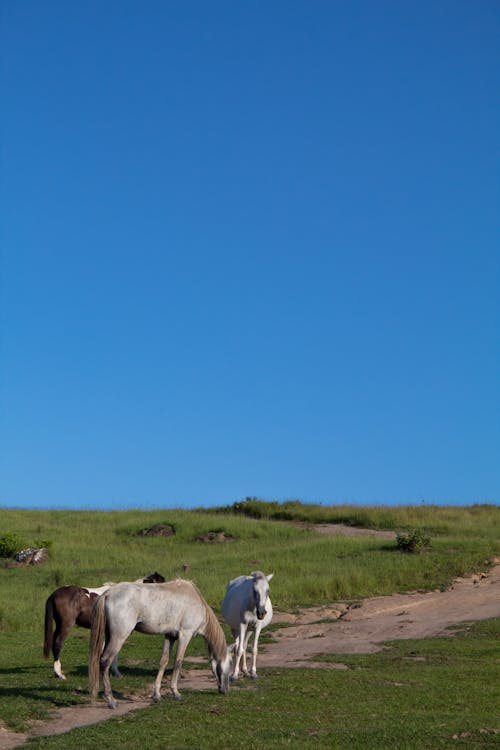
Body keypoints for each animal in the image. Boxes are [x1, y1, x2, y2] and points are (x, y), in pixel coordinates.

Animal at [89, 580, 231, 708]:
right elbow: (178, 662)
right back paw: (111, 700)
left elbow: (164, 661)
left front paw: (157, 694)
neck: (196, 602)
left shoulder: (170, 636)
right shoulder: (185, 635)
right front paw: (176, 692)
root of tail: (108, 593)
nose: (225, 690)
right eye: (229, 667)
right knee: (105, 661)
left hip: (109, 636)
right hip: (119, 637)